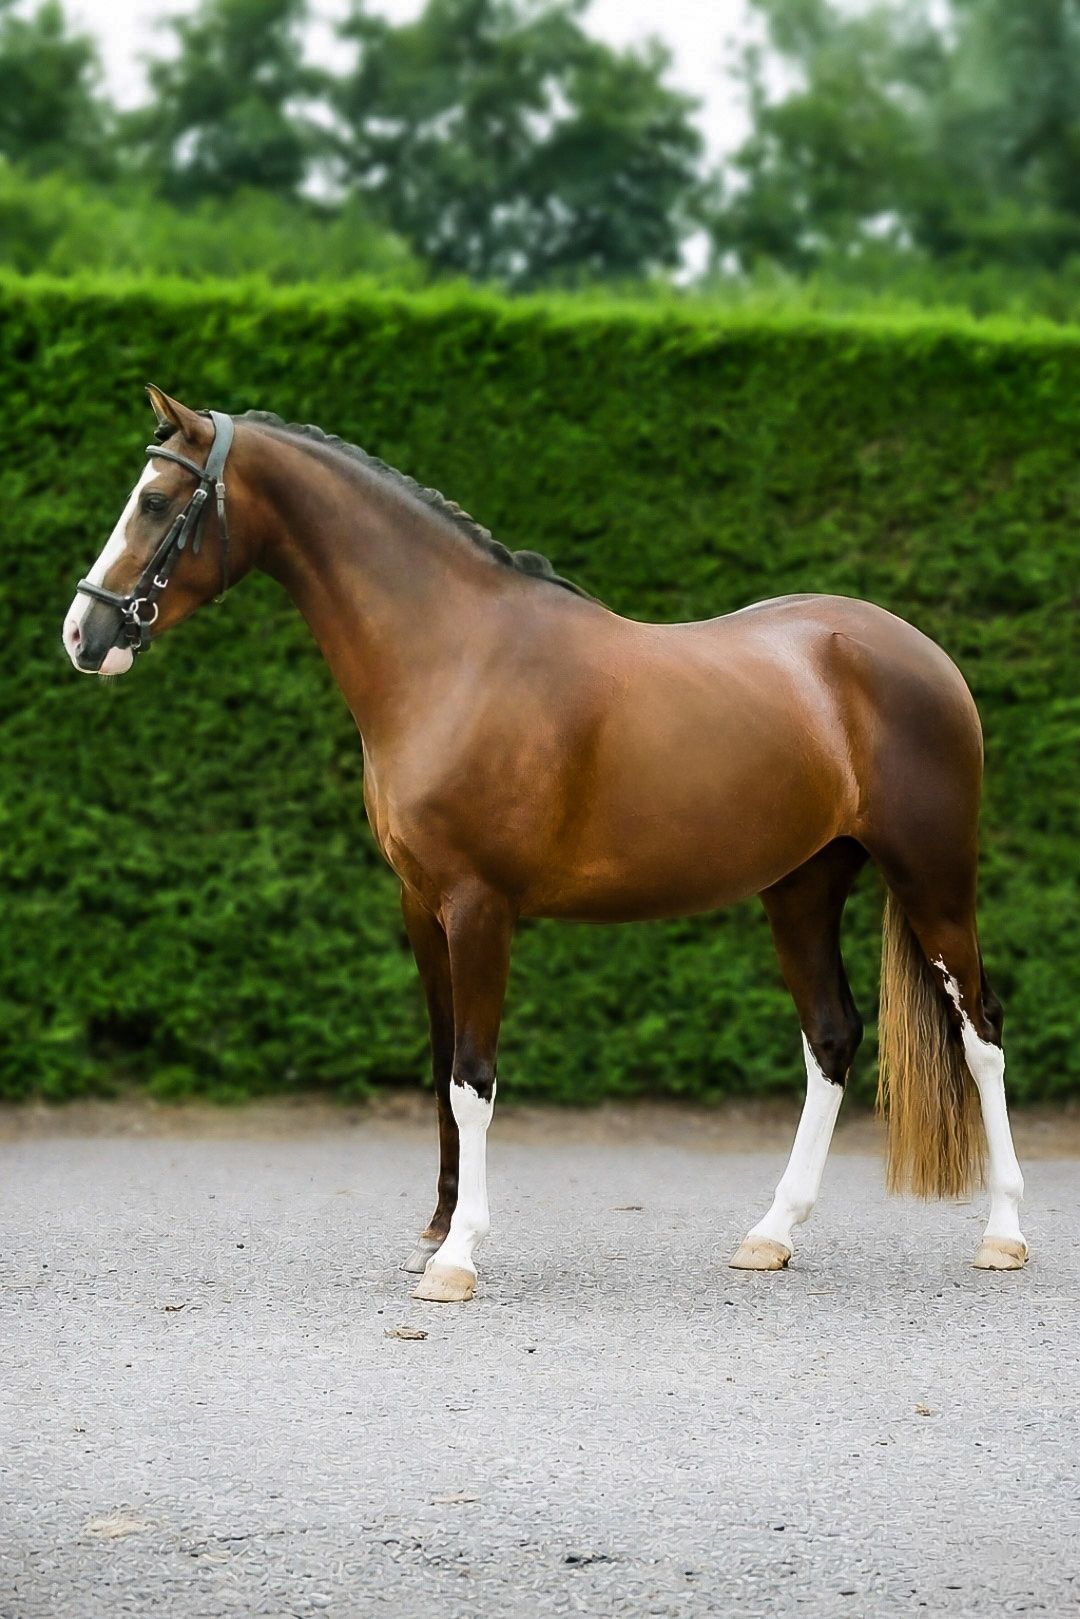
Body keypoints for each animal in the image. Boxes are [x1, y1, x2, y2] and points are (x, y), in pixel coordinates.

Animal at [62, 387, 1028, 1302]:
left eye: (156, 500)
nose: (84, 634)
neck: (453, 658)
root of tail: (922, 655)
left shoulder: (479, 906)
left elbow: (473, 1076)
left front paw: (458, 1256)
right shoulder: (421, 906)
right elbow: (441, 1067)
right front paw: (435, 1232)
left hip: (934, 879)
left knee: (981, 1030)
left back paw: (1004, 1233)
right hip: (801, 887)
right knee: (830, 1038)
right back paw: (771, 1233)